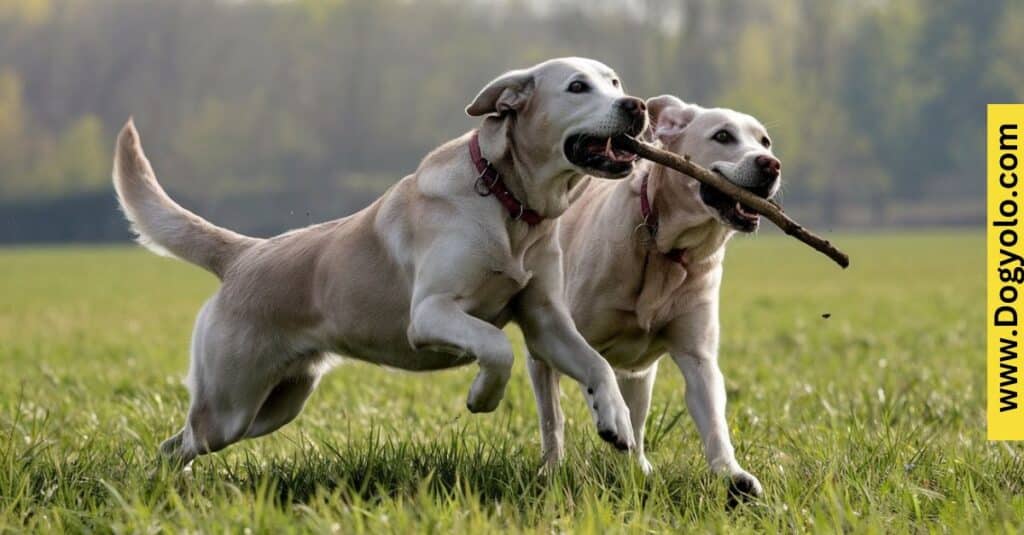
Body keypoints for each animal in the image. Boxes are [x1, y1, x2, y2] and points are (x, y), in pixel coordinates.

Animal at [114, 57, 647, 467]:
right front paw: (483, 396)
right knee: (180, 443)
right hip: (230, 405)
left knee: (176, 444)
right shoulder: (430, 312)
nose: (636, 106)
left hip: (276, 403)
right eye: (577, 86)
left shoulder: (546, 322)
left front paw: (616, 421)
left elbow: (598, 365)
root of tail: (245, 252)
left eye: (615, 82)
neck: (508, 202)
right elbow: (497, 348)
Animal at [528, 94, 782, 500]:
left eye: (765, 142)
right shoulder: (573, 340)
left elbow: (714, 420)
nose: (770, 164)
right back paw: (552, 468)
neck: (666, 247)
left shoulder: (698, 357)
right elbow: (590, 383)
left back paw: (636, 465)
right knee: (552, 418)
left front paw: (733, 476)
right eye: (723, 136)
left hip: (641, 373)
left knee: (636, 414)